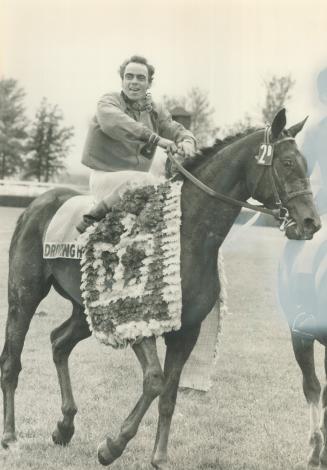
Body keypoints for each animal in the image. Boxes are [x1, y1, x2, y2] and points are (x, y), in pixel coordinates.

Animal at [0, 109, 322, 466]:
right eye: (288, 163)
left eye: (305, 163)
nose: (310, 222)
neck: (188, 233)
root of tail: (39, 202)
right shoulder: (138, 319)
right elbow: (154, 381)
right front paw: (112, 446)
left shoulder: (187, 332)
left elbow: (169, 393)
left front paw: (159, 456)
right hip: (23, 294)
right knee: (11, 361)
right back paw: (10, 435)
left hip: (86, 310)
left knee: (59, 343)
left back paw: (64, 426)